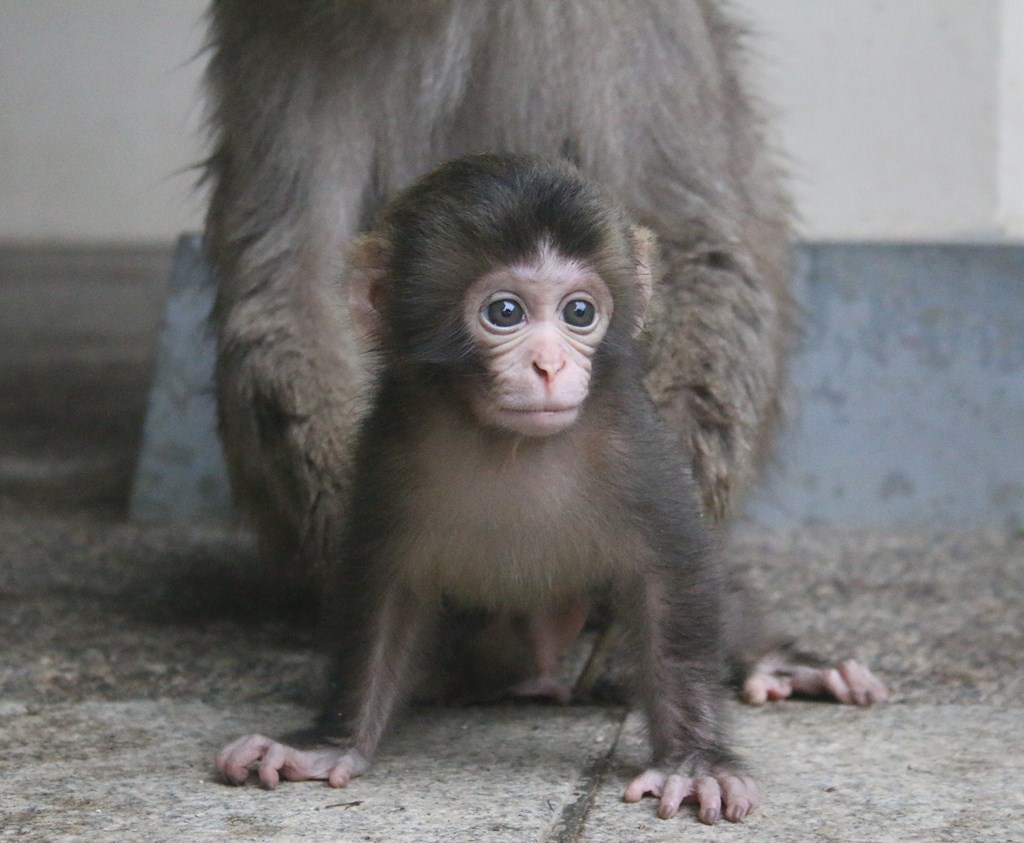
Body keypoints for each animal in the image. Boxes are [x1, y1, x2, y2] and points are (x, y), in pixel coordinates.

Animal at [216, 153, 761, 823]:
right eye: (506, 313)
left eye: (579, 313)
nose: (550, 365)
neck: (506, 442)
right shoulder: (389, 450)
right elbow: (383, 591)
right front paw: (330, 743)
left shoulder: (636, 449)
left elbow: (672, 576)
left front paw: (694, 762)